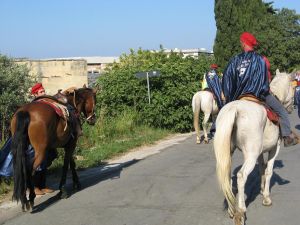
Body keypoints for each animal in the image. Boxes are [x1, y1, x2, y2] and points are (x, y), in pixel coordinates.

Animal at [214, 69, 294, 224]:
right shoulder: (275, 148)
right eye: (293, 87)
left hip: (228, 153)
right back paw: (241, 211)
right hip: (250, 155)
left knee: (227, 177)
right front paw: (266, 197)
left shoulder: (260, 152)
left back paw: (232, 209)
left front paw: (262, 190)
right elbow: (269, 171)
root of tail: (235, 109)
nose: (292, 108)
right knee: (241, 176)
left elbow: (262, 168)